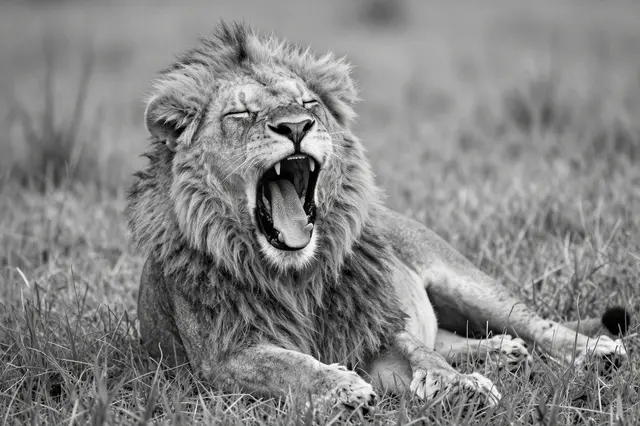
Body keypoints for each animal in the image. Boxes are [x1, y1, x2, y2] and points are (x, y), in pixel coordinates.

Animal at [126, 22, 629, 412]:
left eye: (308, 105)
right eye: (240, 113)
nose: (296, 127)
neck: (296, 275)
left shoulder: (373, 323)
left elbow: (417, 352)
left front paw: (460, 388)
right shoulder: (222, 356)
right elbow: (284, 365)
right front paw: (338, 388)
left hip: (466, 283)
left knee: (535, 325)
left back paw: (596, 352)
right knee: (454, 337)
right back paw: (503, 353)